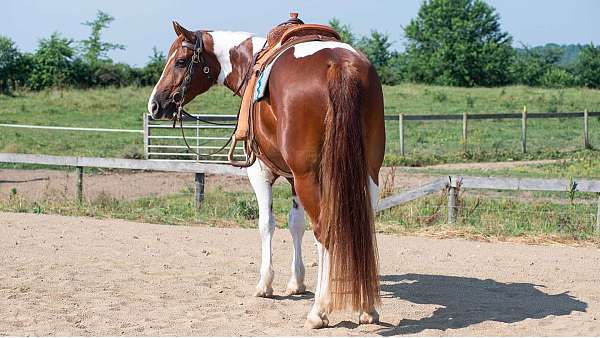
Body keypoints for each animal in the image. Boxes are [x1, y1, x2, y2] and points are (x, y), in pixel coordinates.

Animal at [148, 20, 386, 328]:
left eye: (179, 61)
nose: (155, 105)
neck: (252, 62)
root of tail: (339, 65)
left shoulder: (261, 172)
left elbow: (267, 224)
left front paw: (265, 284)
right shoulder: (294, 179)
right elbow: (296, 224)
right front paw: (296, 282)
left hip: (311, 176)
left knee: (326, 231)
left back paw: (319, 310)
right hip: (366, 173)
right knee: (360, 226)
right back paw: (367, 307)